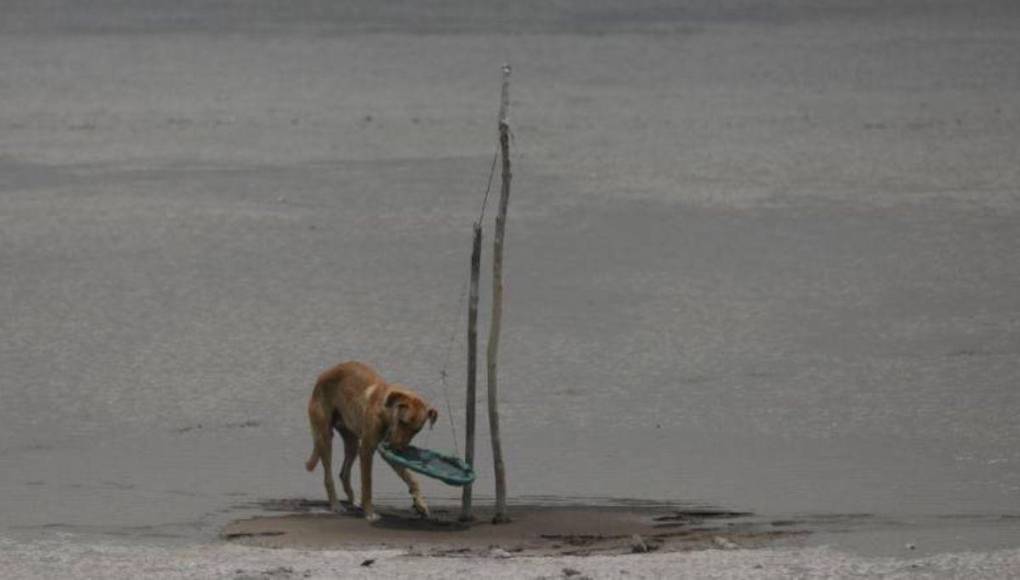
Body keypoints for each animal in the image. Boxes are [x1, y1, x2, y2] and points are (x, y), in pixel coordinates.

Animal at [301, 362, 438, 519]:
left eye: (417, 430)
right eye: (402, 421)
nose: (398, 449)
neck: (385, 412)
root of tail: (321, 376)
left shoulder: (388, 453)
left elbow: (411, 478)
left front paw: (420, 503)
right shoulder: (366, 450)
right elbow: (367, 484)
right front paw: (369, 513)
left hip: (352, 443)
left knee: (344, 473)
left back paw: (354, 500)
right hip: (325, 438)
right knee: (328, 477)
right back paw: (336, 505)